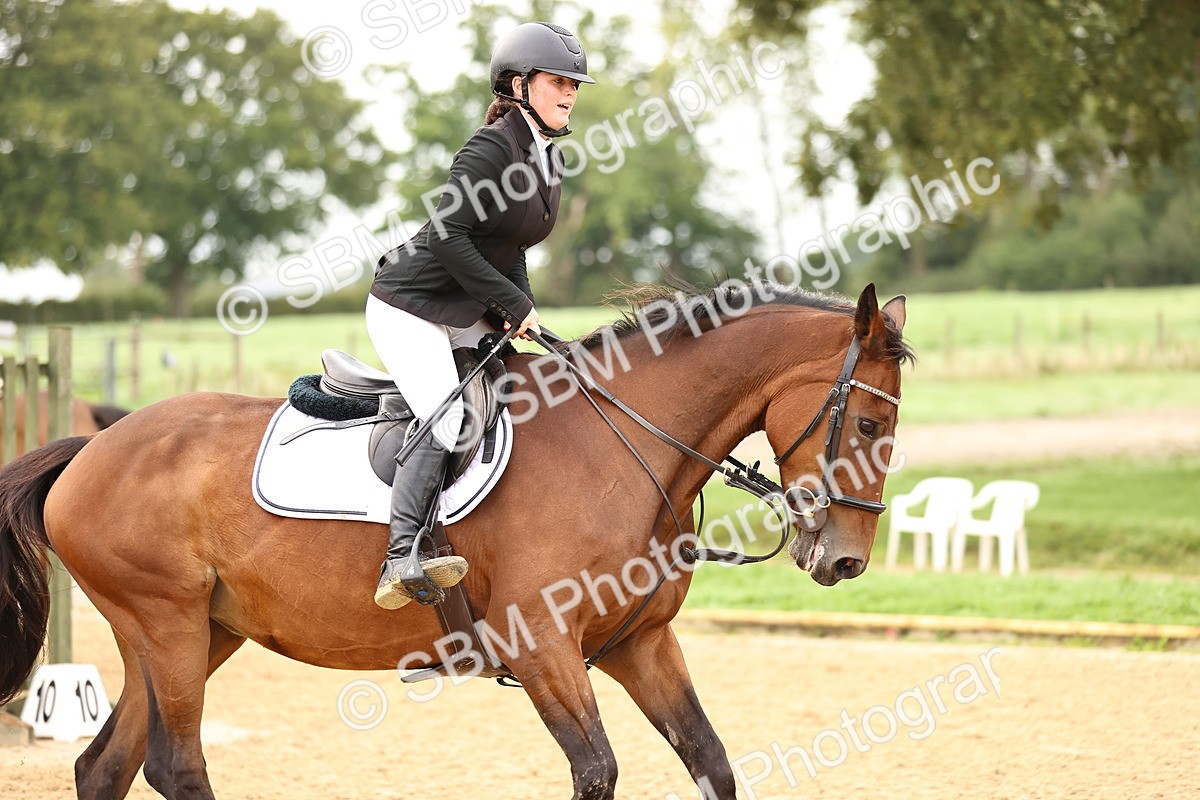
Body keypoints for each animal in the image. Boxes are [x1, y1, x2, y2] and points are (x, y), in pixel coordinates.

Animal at [0, 283, 910, 800]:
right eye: (868, 422)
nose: (845, 561)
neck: (623, 446)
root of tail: (92, 448)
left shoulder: (639, 643)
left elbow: (710, 761)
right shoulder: (543, 646)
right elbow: (596, 773)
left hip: (193, 633)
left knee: (105, 768)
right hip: (170, 626)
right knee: (175, 767)